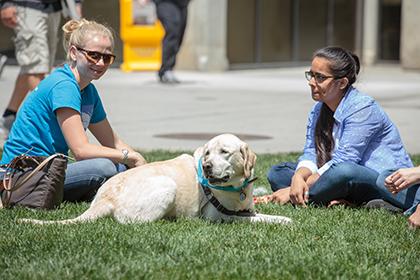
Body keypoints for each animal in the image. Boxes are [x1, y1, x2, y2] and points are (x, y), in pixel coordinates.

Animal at [21, 134, 292, 225]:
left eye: (224, 152)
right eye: (207, 153)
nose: (206, 167)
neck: (236, 188)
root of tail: (104, 198)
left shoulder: (246, 208)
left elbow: (268, 216)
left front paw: (284, 218)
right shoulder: (220, 216)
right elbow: (256, 220)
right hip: (166, 184)